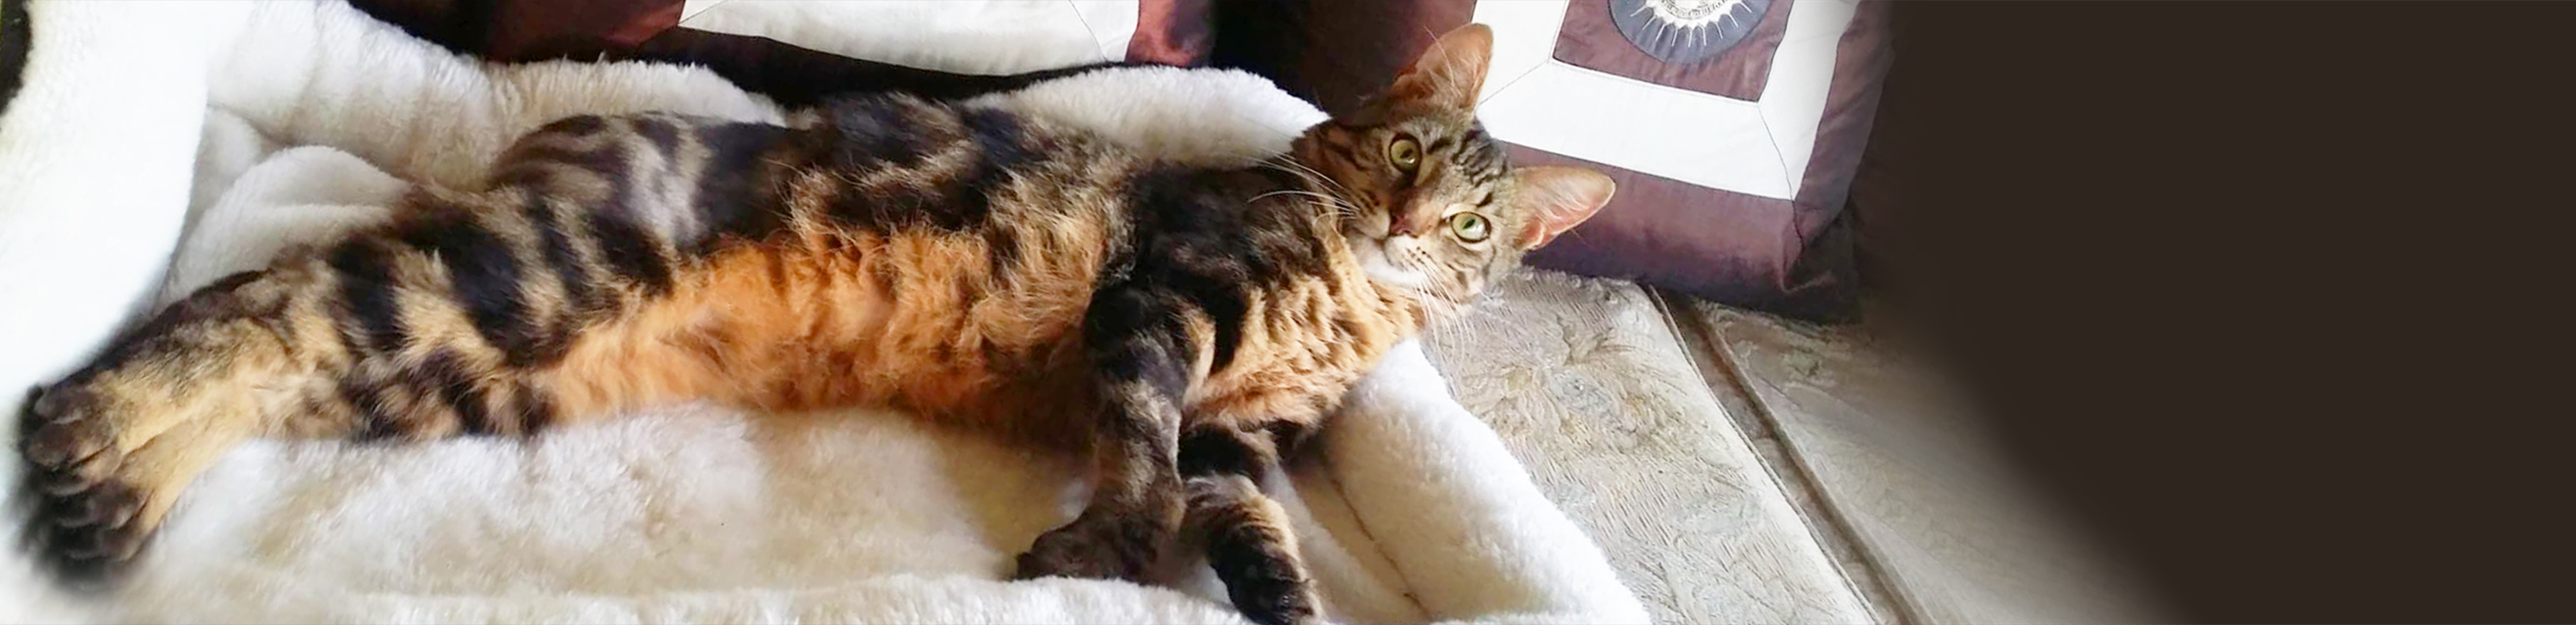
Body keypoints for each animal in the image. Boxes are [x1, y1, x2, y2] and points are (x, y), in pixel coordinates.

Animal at [15, 23, 1607, 625]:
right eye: (1404, 151)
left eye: (1473, 225)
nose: (1410, 221)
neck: (1339, 302)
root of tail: (533, 145)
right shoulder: (1161, 302)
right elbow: (1143, 458)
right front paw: (1102, 550)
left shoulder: (1251, 437)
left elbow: (1258, 535)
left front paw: (1263, 594)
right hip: (520, 284)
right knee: (252, 309)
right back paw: (83, 441)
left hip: (478, 366)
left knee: (275, 352)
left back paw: (114, 493)